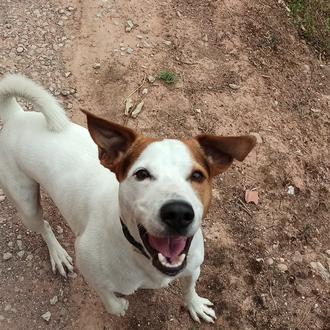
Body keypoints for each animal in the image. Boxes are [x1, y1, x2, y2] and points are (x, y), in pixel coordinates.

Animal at [0, 74, 255, 322]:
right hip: (26, 204)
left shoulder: (193, 265)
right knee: (43, 225)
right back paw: (58, 254)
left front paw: (195, 304)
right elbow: (110, 300)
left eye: (197, 176)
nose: (178, 213)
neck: (141, 254)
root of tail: (17, 115)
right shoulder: (88, 265)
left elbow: (190, 286)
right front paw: (119, 305)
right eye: (141, 174)